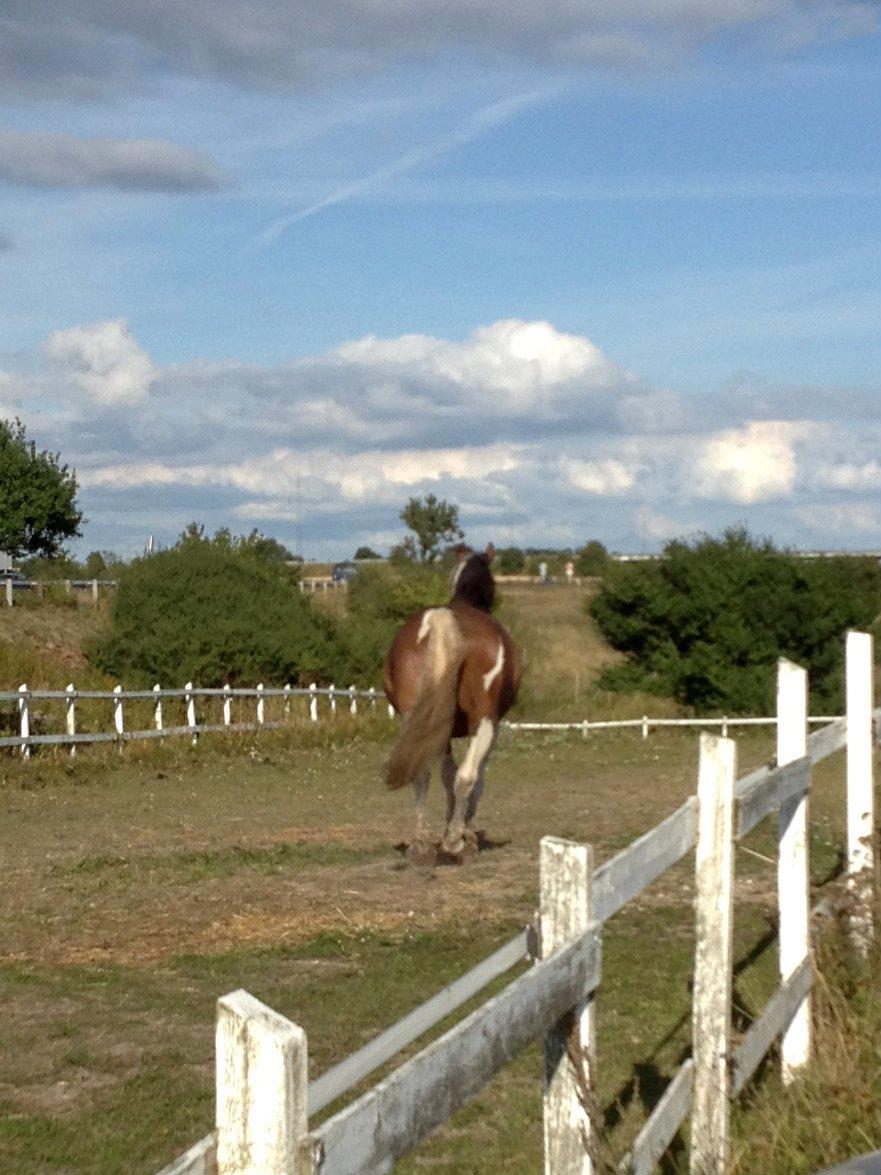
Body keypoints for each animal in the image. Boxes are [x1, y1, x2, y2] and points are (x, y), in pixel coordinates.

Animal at [382, 545, 521, 869]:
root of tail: (443, 619)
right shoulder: (491, 727)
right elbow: (473, 777)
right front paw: (460, 832)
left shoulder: (441, 732)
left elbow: (445, 775)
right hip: (484, 722)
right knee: (467, 775)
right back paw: (456, 842)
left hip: (419, 720)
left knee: (421, 774)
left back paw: (421, 847)